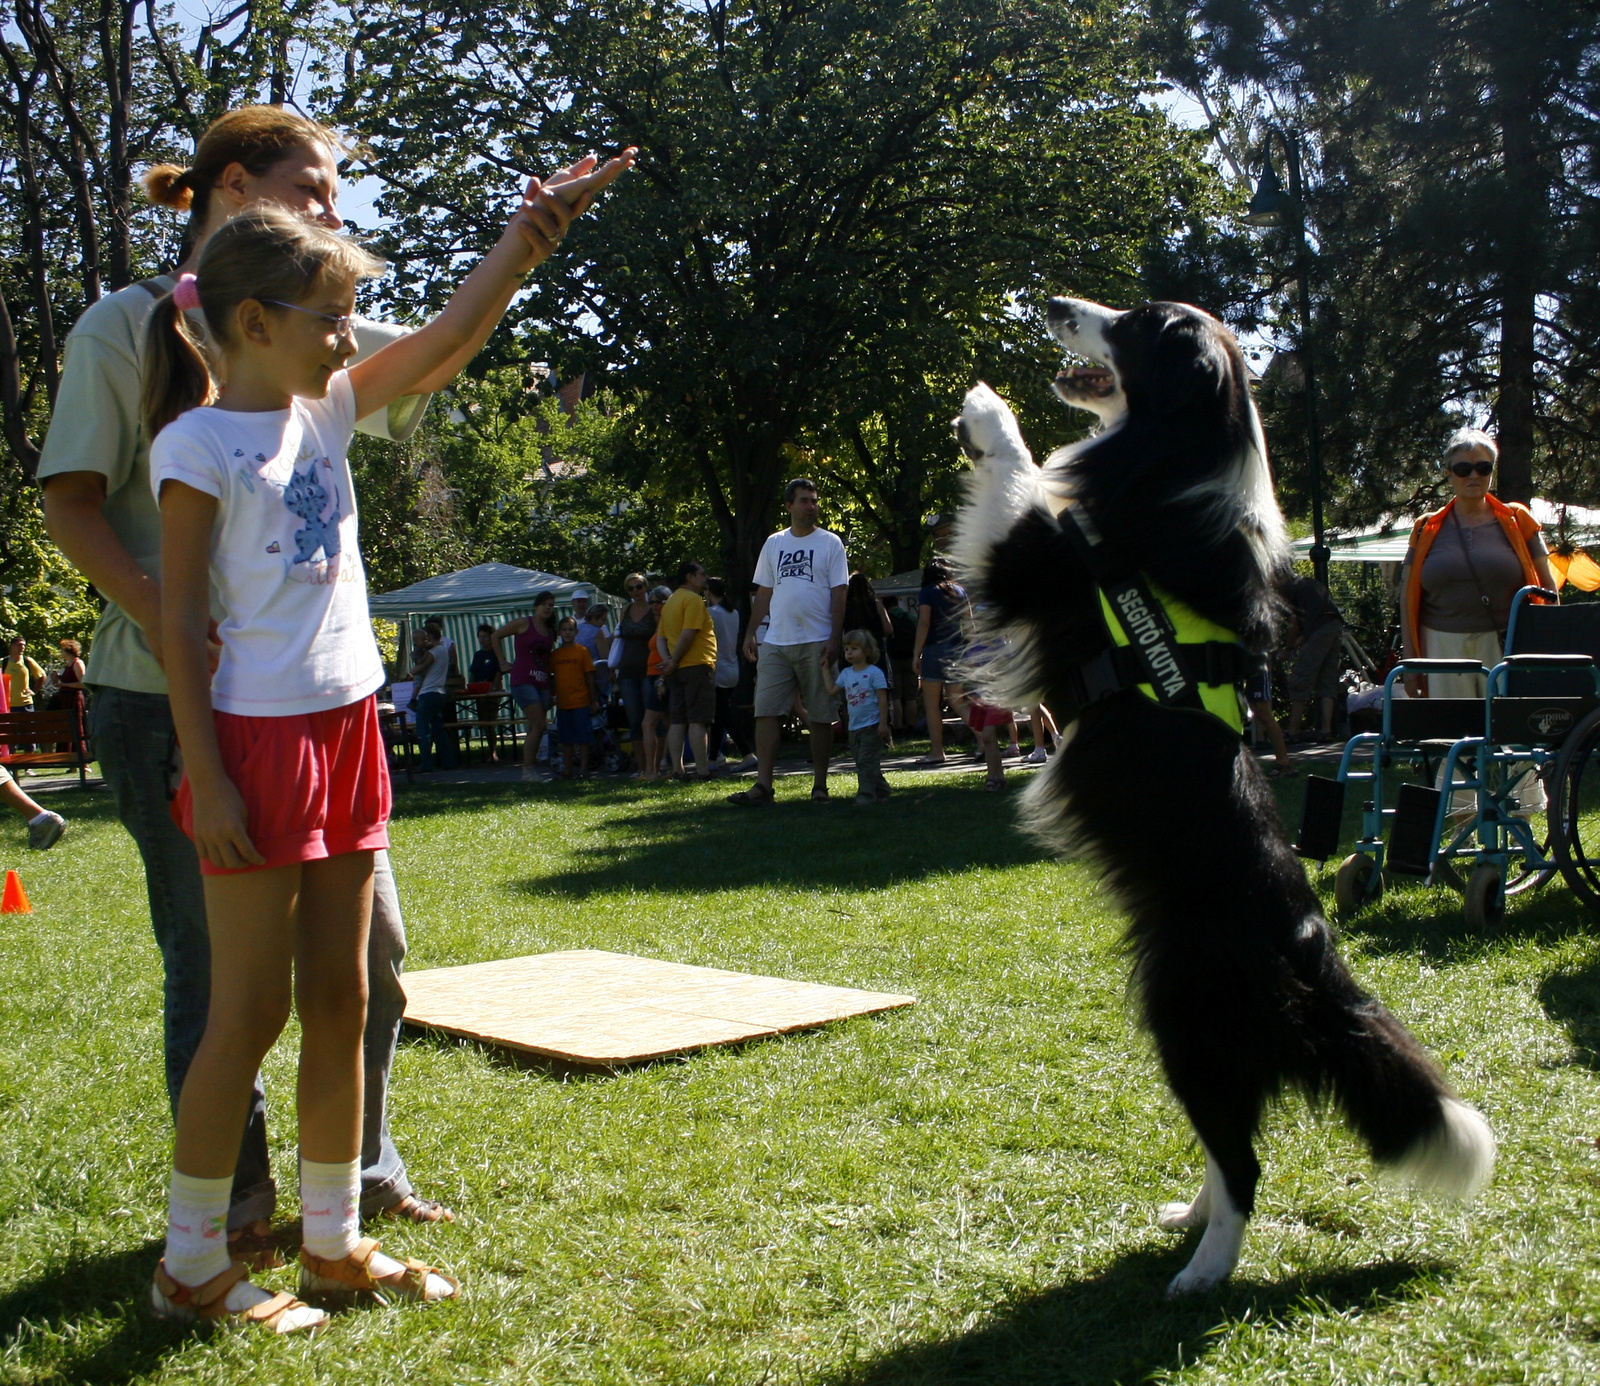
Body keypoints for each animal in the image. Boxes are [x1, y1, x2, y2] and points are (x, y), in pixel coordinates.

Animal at [940, 294, 1491, 1293]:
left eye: (1132, 324)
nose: (1055, 306)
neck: (1181, 457)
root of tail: (1309, 953)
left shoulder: (1036, 559)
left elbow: (1023, 480)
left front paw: (985, 409)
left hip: (1184, 1016)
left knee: (1244, 1161)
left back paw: (1202, 1273)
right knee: (1227, 1142)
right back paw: (1188, 1220)